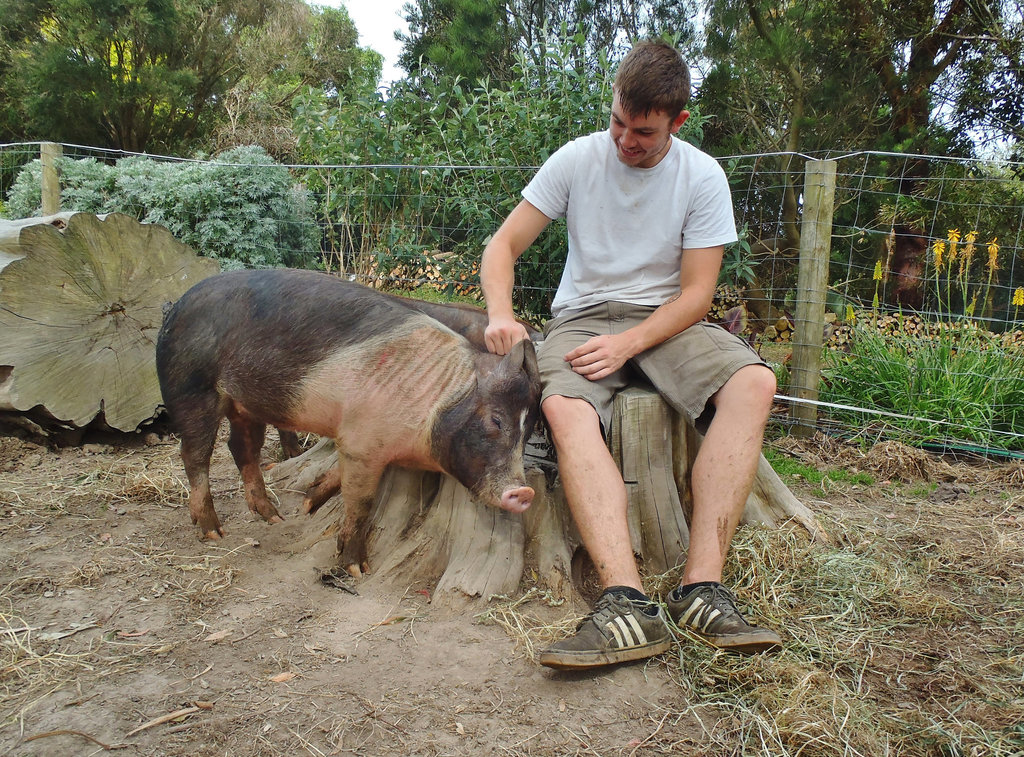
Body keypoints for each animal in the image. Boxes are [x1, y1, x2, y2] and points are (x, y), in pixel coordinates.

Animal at [155, 270, 540, 577]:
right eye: (496, 420)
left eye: (529, 431)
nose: (524, 492)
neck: (435, 399)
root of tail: (176, 306)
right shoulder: (361, 442)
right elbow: (360, 501)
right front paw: (356, 569)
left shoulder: (354, 439)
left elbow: (338, 478)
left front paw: (307, 506)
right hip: (191, 387)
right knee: (195, 454)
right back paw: (213, 531)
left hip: (245, 405)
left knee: (241, 448)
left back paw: (274, 517)